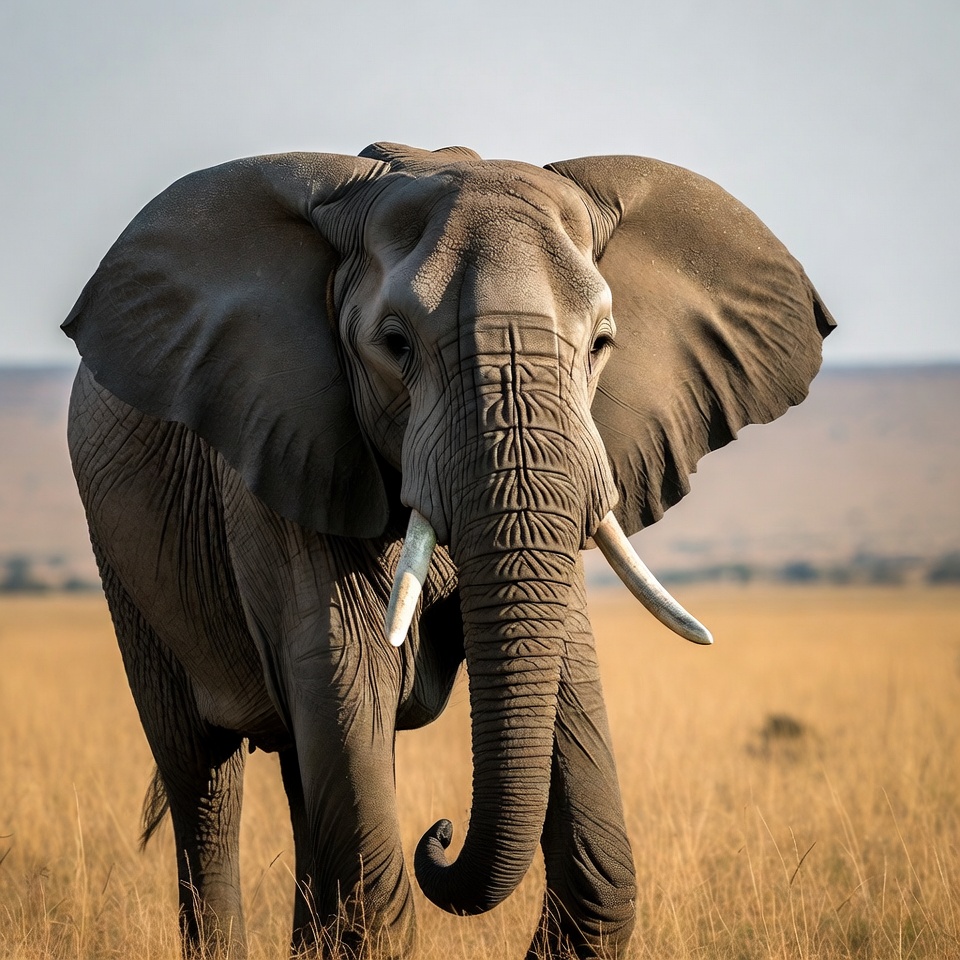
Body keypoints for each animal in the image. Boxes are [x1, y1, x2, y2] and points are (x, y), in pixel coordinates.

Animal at [63, 141, 834, 959]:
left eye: (602, 344)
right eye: (395, 344)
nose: (439, 833)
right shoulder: (285, 448)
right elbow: (348, 675)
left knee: (305, 778)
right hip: (128, 570)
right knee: (203, 778)